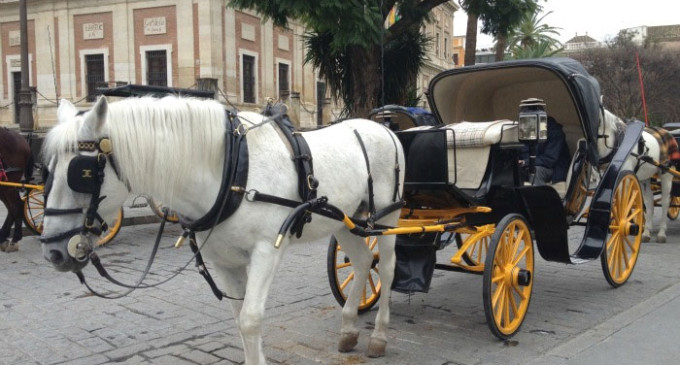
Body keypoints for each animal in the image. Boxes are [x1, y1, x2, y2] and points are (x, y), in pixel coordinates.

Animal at [41, 95, 404, 362]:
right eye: (47, 170)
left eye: (82, 172)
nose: (54, 251)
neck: (231, 170)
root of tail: (384, 129)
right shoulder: (225, 260)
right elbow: (240, 318)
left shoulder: (266, 252)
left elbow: (250, 319)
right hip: (345, 220)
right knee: (361, 261)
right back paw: (349, 329)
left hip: (387, 217)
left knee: (385, 268)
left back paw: (380, 336)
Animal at [596, 109, 672, 243]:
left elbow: (623, 202)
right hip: (645, 178)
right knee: (649, 201)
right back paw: (646, 232)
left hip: (666, 175)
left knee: (665, 201)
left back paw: (662, 233)